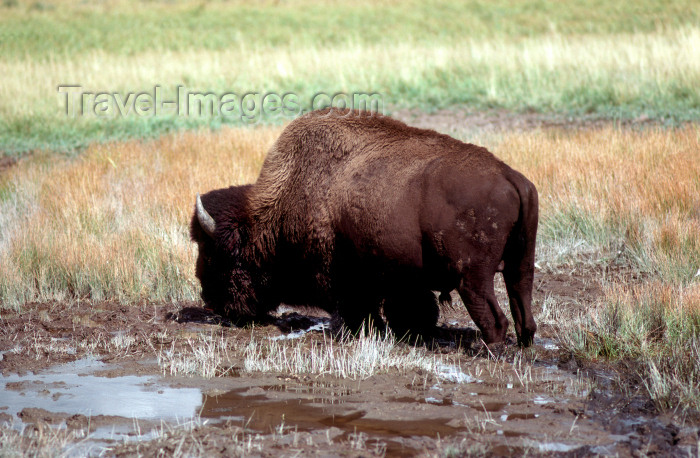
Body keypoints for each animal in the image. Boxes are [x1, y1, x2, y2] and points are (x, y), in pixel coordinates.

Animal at [189, 110, 540, 348]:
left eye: (213, 251)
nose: (210, 300)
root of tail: (512, 177)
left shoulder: (343, 275)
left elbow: (355, 305)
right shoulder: (400, 276)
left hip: (472, 278)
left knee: (494, 317)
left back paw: (489, 347)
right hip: (521, 264)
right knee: (522, 305)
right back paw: (523, 344)